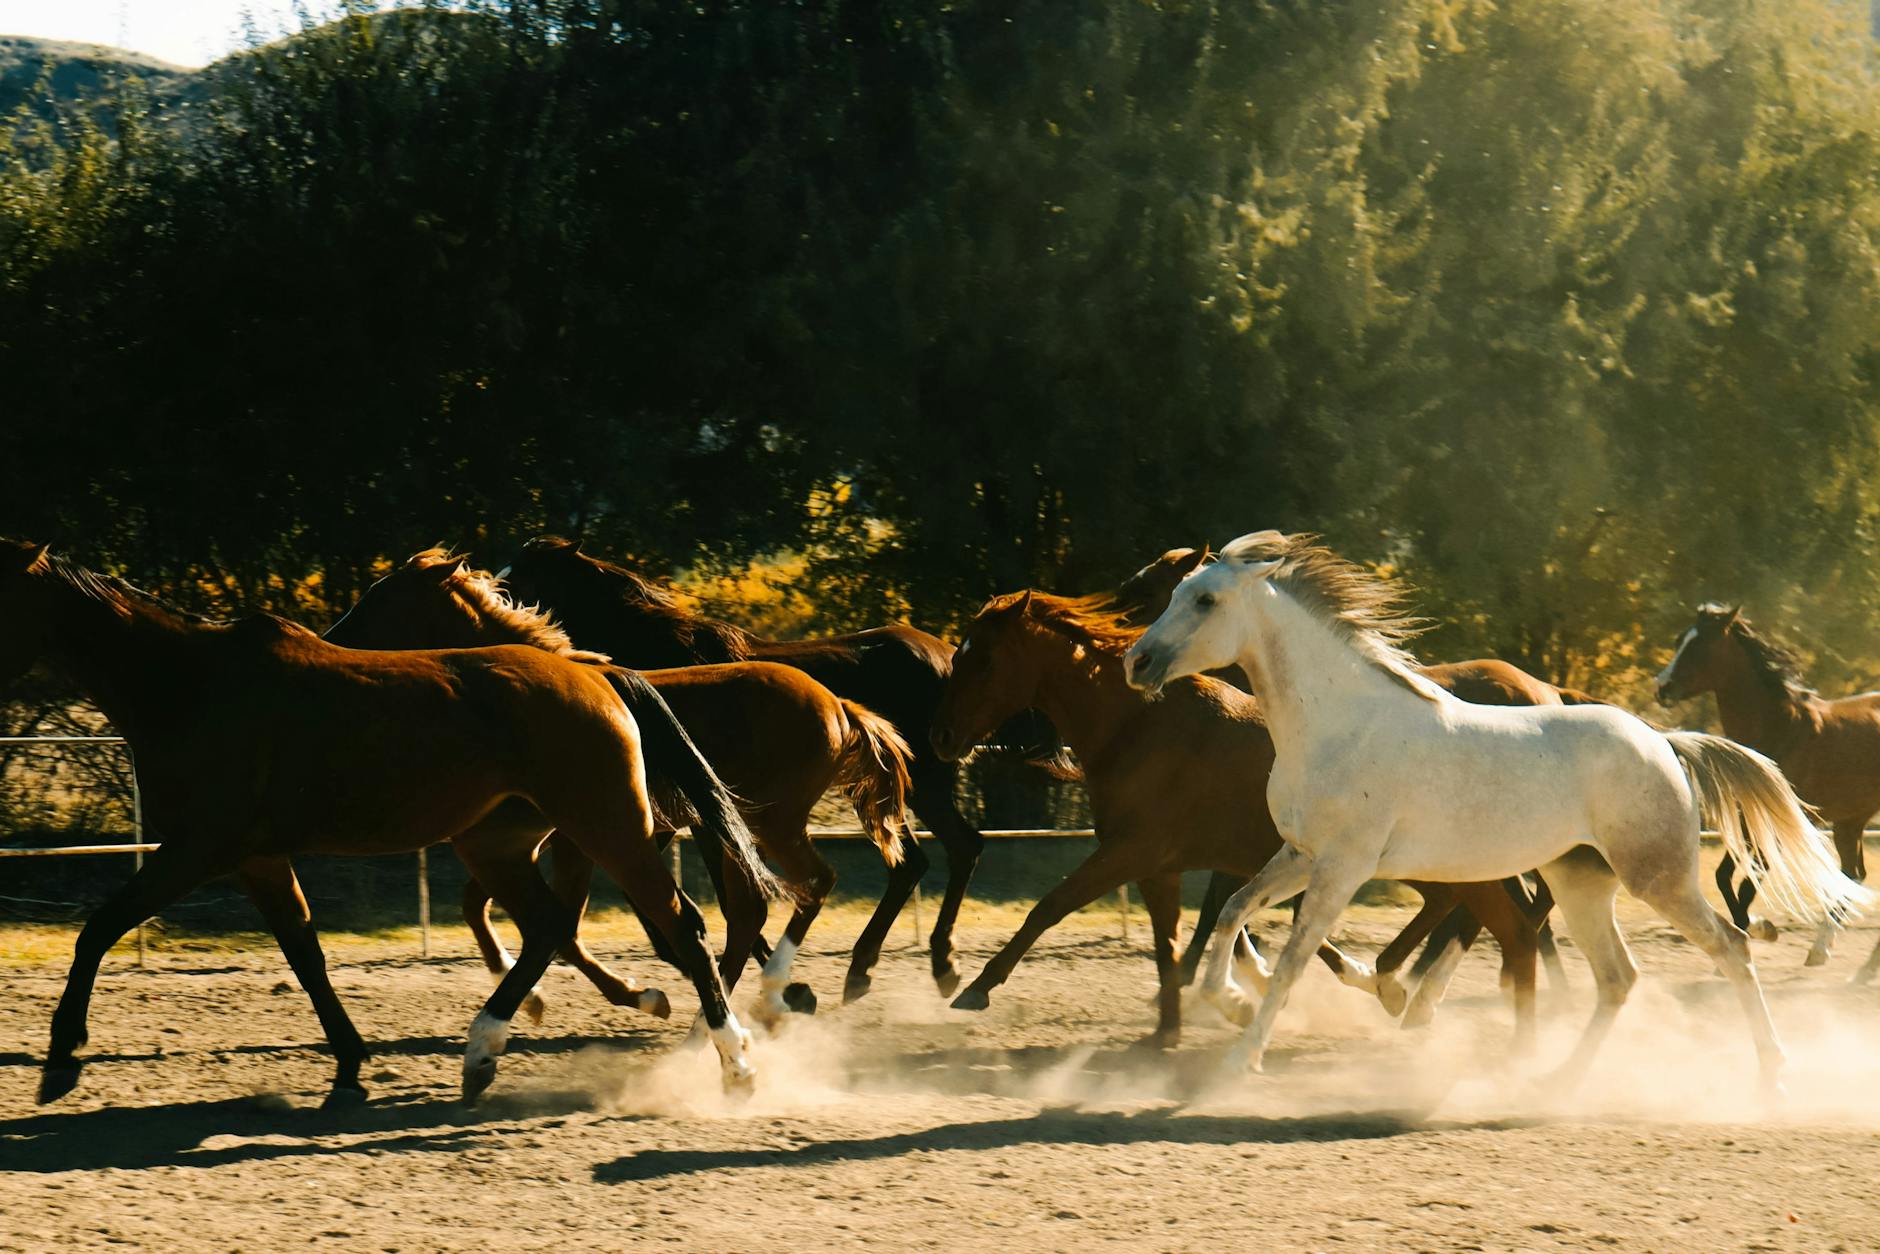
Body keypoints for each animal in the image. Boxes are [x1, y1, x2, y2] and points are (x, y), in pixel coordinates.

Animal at [0, 539, 775, 1105]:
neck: (192, 684)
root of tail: (596, 674)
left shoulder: (197, 847)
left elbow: (98, 929)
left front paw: (62, 1056)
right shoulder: (256, 857)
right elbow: (305, 953)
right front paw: (349, 1065)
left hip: (608, 829)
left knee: (682, 927)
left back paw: (735, 1064)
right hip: (505, 843)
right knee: (553, 927)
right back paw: (485, 1051)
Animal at [325, 549, 914, 1023]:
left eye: (378, 599)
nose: (329, 640)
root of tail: (840, 706)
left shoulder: (576, 839)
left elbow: (565, 923)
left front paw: (639, 994)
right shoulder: (553, 839)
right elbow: (503, 911)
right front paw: (539, 997)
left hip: (771, 823)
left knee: (805, 885)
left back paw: (770, 994)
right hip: (743, 831)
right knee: (759, 903)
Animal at [501, 534, 1032, 1002]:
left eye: (526, 575)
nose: (496, 591)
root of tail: (947, 658)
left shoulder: (697, 814)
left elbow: (725, 897)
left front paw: (773, 984)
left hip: (924, 784)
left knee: (958, 848)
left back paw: (937, 964)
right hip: (898, 790)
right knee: (917, 861)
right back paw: (871, 970)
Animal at [928, 589, 1544, 1048]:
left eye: (981, 658)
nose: (942, 737)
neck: (1136, 727)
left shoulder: (1130, 852)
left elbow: (1049, 907)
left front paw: (976, 987)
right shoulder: (1161, 867)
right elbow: (1172, 943)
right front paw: (1171, 1029)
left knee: (1502, 923)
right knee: (1474, 912)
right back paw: (1404, 988)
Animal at [1656, 603, 1880, 970]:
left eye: (1700, 645)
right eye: (1679, 640)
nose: (1662, 687)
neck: (1779, 730)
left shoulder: (1771, 827)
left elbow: (1749, 883)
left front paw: (1754, 933)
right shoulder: (1747, 820)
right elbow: (1724, 877)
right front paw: (1756, 930)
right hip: (1851, 820)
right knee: (1853, 873)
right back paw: (1830, 956)